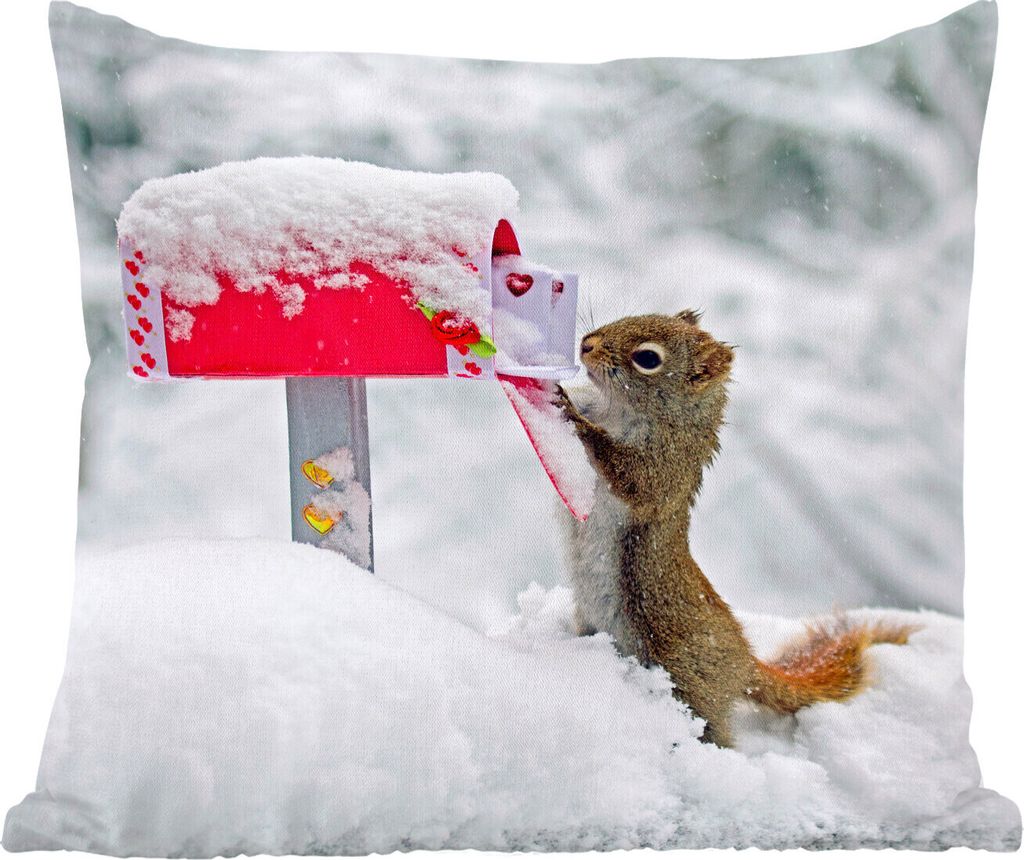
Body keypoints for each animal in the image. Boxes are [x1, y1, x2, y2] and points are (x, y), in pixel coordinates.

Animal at [554, 310, 915, 748]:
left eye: (647, 358)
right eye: (632, 315)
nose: (586, 344)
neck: (615, 408)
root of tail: (745, 663)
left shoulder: (665, 469)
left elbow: (628, 474)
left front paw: (576, 419)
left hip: (690, 679)